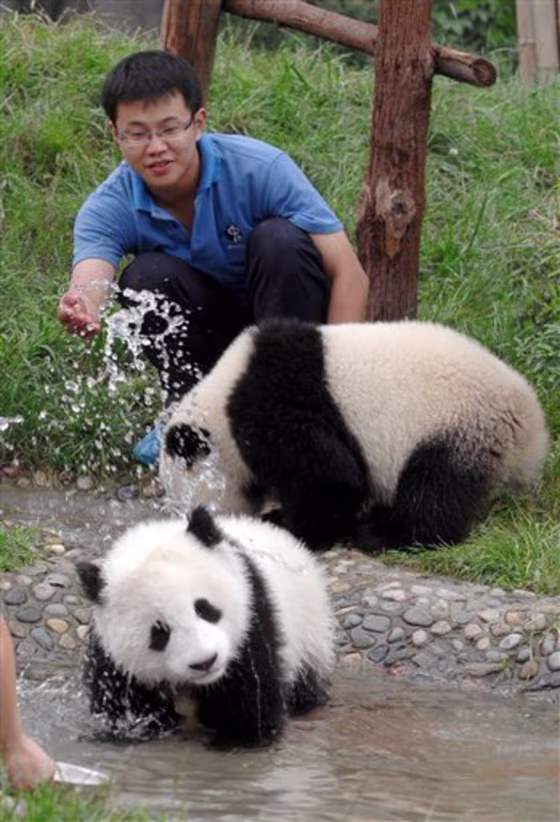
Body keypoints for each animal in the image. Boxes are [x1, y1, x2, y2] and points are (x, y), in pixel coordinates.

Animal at [76, 506, 334, 749]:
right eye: (159, 632)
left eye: (205, 609)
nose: (205, 662)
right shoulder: (113, 660)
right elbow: (126, 704)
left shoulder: (252, 616)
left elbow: (252, 689)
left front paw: (240, 737)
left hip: (309, 631)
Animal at [160, 318, 549, 552]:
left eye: (185, 496)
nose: (193, 522)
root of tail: (530, 430)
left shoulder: (272, 407)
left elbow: (330, 477)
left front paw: (296, 528)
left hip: (457, 425)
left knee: (434, 489)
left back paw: (384, 534)